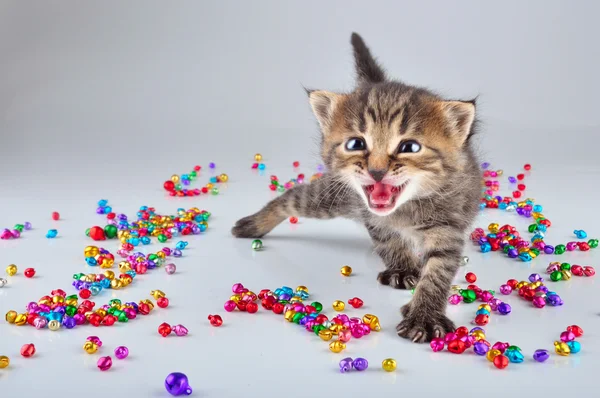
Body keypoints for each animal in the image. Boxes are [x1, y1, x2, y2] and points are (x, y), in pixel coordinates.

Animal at [232, 32, 480, 342]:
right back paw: (252, 224)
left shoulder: (449, 223)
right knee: (292, 198)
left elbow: (437, 270)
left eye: (410, 147)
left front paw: (424, 315)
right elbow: (387, 240)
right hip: (332, 197)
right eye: (356, 144)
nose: (377, 170)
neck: (404, 210)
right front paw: (402, 269)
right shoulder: (369, 212)